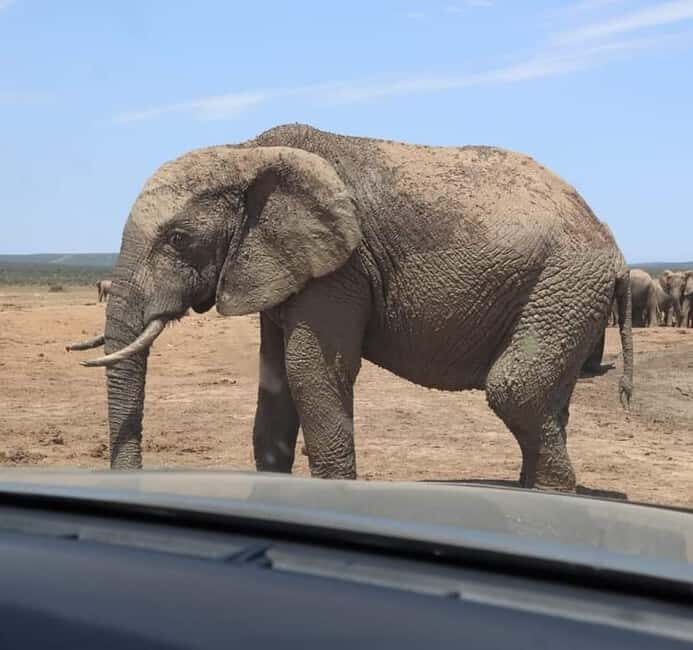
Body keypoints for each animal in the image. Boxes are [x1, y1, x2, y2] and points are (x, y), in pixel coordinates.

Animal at [68, 124, 633, 492]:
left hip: (563, 283)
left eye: (179, 239)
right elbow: (276, 381)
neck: (248, 152)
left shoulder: (340, 267)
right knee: (547, 397)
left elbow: (312, 370)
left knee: (515, 388)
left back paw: (551, 496)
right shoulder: (282, 266)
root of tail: (611, 242)